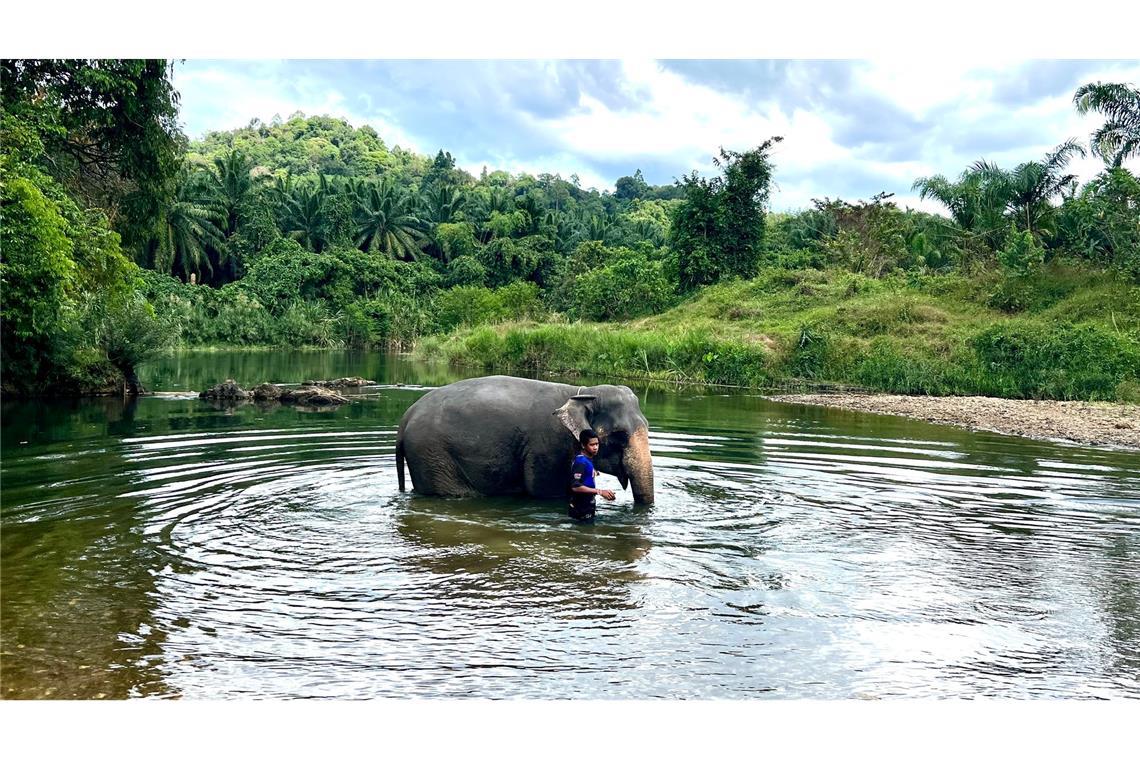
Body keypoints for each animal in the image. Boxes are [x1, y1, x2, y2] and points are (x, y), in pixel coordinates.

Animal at [396, 376, 656, 505]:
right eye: (619, 435)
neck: (581, 393)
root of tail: (405, 418)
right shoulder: (548, 445)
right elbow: (545, 491)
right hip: (432, 454)